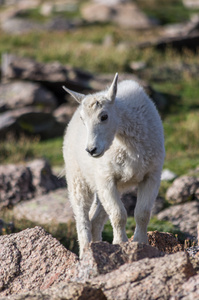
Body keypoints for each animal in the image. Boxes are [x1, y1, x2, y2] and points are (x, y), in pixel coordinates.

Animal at [62, 73, 165, 258]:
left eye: (104, 116)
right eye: (83, 120)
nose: (91, 150)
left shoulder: (151, 175)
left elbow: (142, 213)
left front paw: (141, 243)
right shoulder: (106, 178)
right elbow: (118, 214)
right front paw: (121, 243)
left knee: (95, 218)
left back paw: (96, 245)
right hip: (77, 178)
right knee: (82, 217)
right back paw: (85, 251)